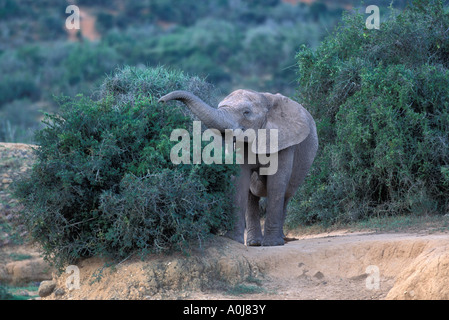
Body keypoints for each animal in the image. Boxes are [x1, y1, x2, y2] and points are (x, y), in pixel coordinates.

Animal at [159, 89, 316, 246]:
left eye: (246, 112)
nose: (161, 100)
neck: (264, 99)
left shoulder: (284, 141)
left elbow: (276, 183)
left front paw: (272, 244)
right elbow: (240, 181)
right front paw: (232, 239)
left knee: (286, 194)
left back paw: (280, 240)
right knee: (252, 196)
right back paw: (254, 243)